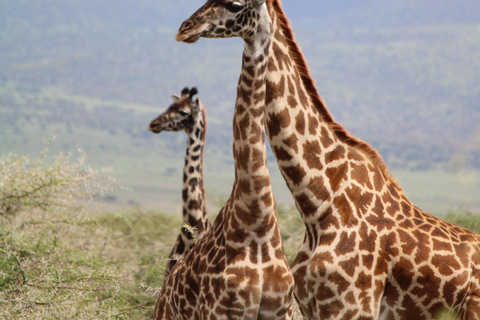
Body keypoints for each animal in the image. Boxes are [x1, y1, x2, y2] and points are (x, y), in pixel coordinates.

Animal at [156, 1, 294, 318]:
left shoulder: (282, 310)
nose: (185, 29)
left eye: (234, 5)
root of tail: (162, 295)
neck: (257, 222)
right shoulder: (221, 311)